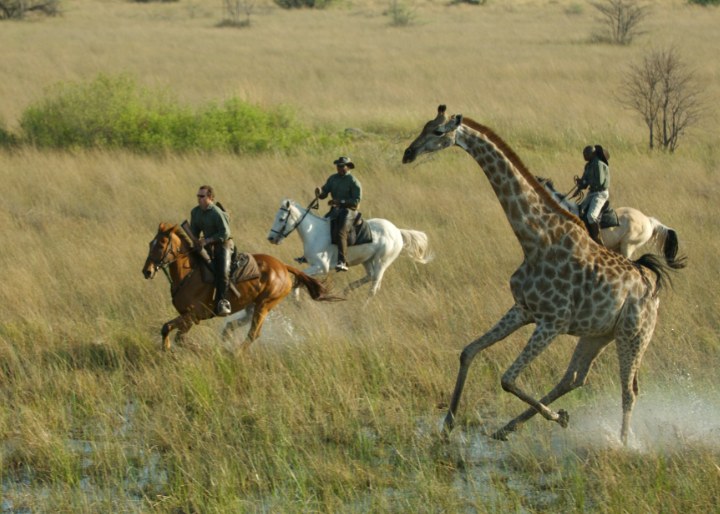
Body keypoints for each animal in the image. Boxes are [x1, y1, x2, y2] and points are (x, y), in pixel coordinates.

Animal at [145, 222, 342, 350]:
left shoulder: (193, 316)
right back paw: (226, 336)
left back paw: (234, 353)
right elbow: (177, 336)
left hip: (264, 304)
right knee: (241, 324)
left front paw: (173, 349)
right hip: (253, 304)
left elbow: (168, 329)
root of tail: (283, 267)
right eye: (150, 243)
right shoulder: (189, 318)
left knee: (253, 333)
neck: (189, 274)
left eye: (161, 245)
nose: (147, 271)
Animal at [266, 200, 430, 296]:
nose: (271, 238)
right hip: (367, 260)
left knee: (374, 287)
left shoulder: (322, 267)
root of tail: (397, 231)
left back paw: (363, 309)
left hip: (382, 262)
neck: (314, 232)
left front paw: (296, 300)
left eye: (281, 219)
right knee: (370, 276)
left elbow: (300, 276)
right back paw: (348, 290)